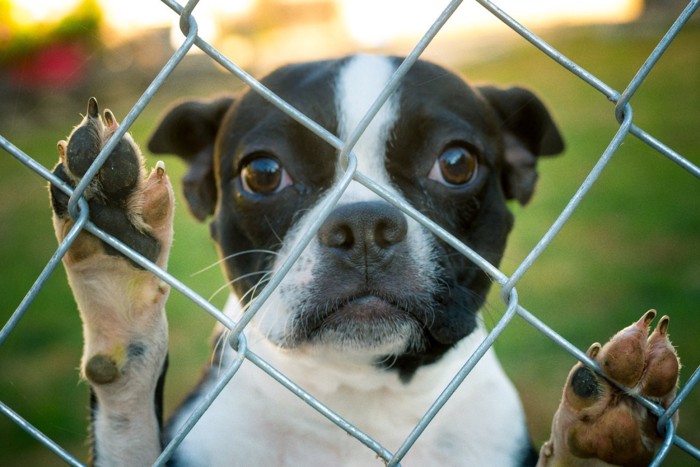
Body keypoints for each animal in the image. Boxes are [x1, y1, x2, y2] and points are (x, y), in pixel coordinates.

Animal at [47, 54, 680, 464]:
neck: (365, 397)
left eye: (456, 163)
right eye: (263, 172)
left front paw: (598, 437)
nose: (364, 226)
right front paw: (116, 289)